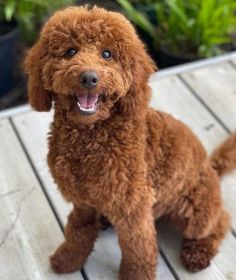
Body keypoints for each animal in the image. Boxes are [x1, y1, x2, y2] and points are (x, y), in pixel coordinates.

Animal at [24, 6, 236, 280]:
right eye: (70, 51)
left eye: (107, 54)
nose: (89, 78)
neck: (89, 138)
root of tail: (211, 167)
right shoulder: (81, 201)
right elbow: (78, 230)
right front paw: (69, 258)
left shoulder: (133, 209)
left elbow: (138, 248)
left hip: (194, 212)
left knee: (219, 222)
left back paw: (198, 252)